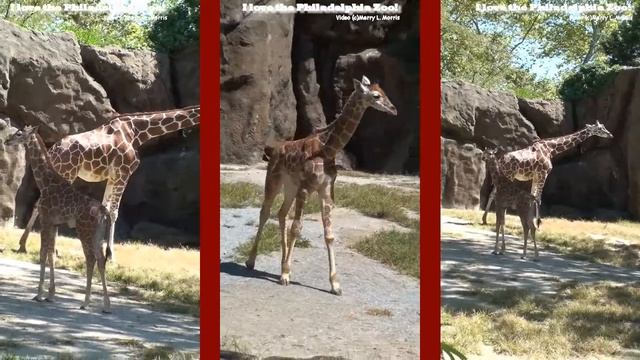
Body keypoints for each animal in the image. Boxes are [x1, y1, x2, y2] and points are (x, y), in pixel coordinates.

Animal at [4, 126, 112, 312]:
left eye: (19, 133)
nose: (7, 140)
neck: (45, 183)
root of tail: (104, 211)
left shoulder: (45, 220)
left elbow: (42, 254)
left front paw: (39, 294)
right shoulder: (54, 224)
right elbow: (51, 255)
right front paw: (51, 295)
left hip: (84, 231)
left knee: (90, 259)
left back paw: (85, 302)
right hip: (97, 235)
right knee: (100, 260)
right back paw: (106, 306)